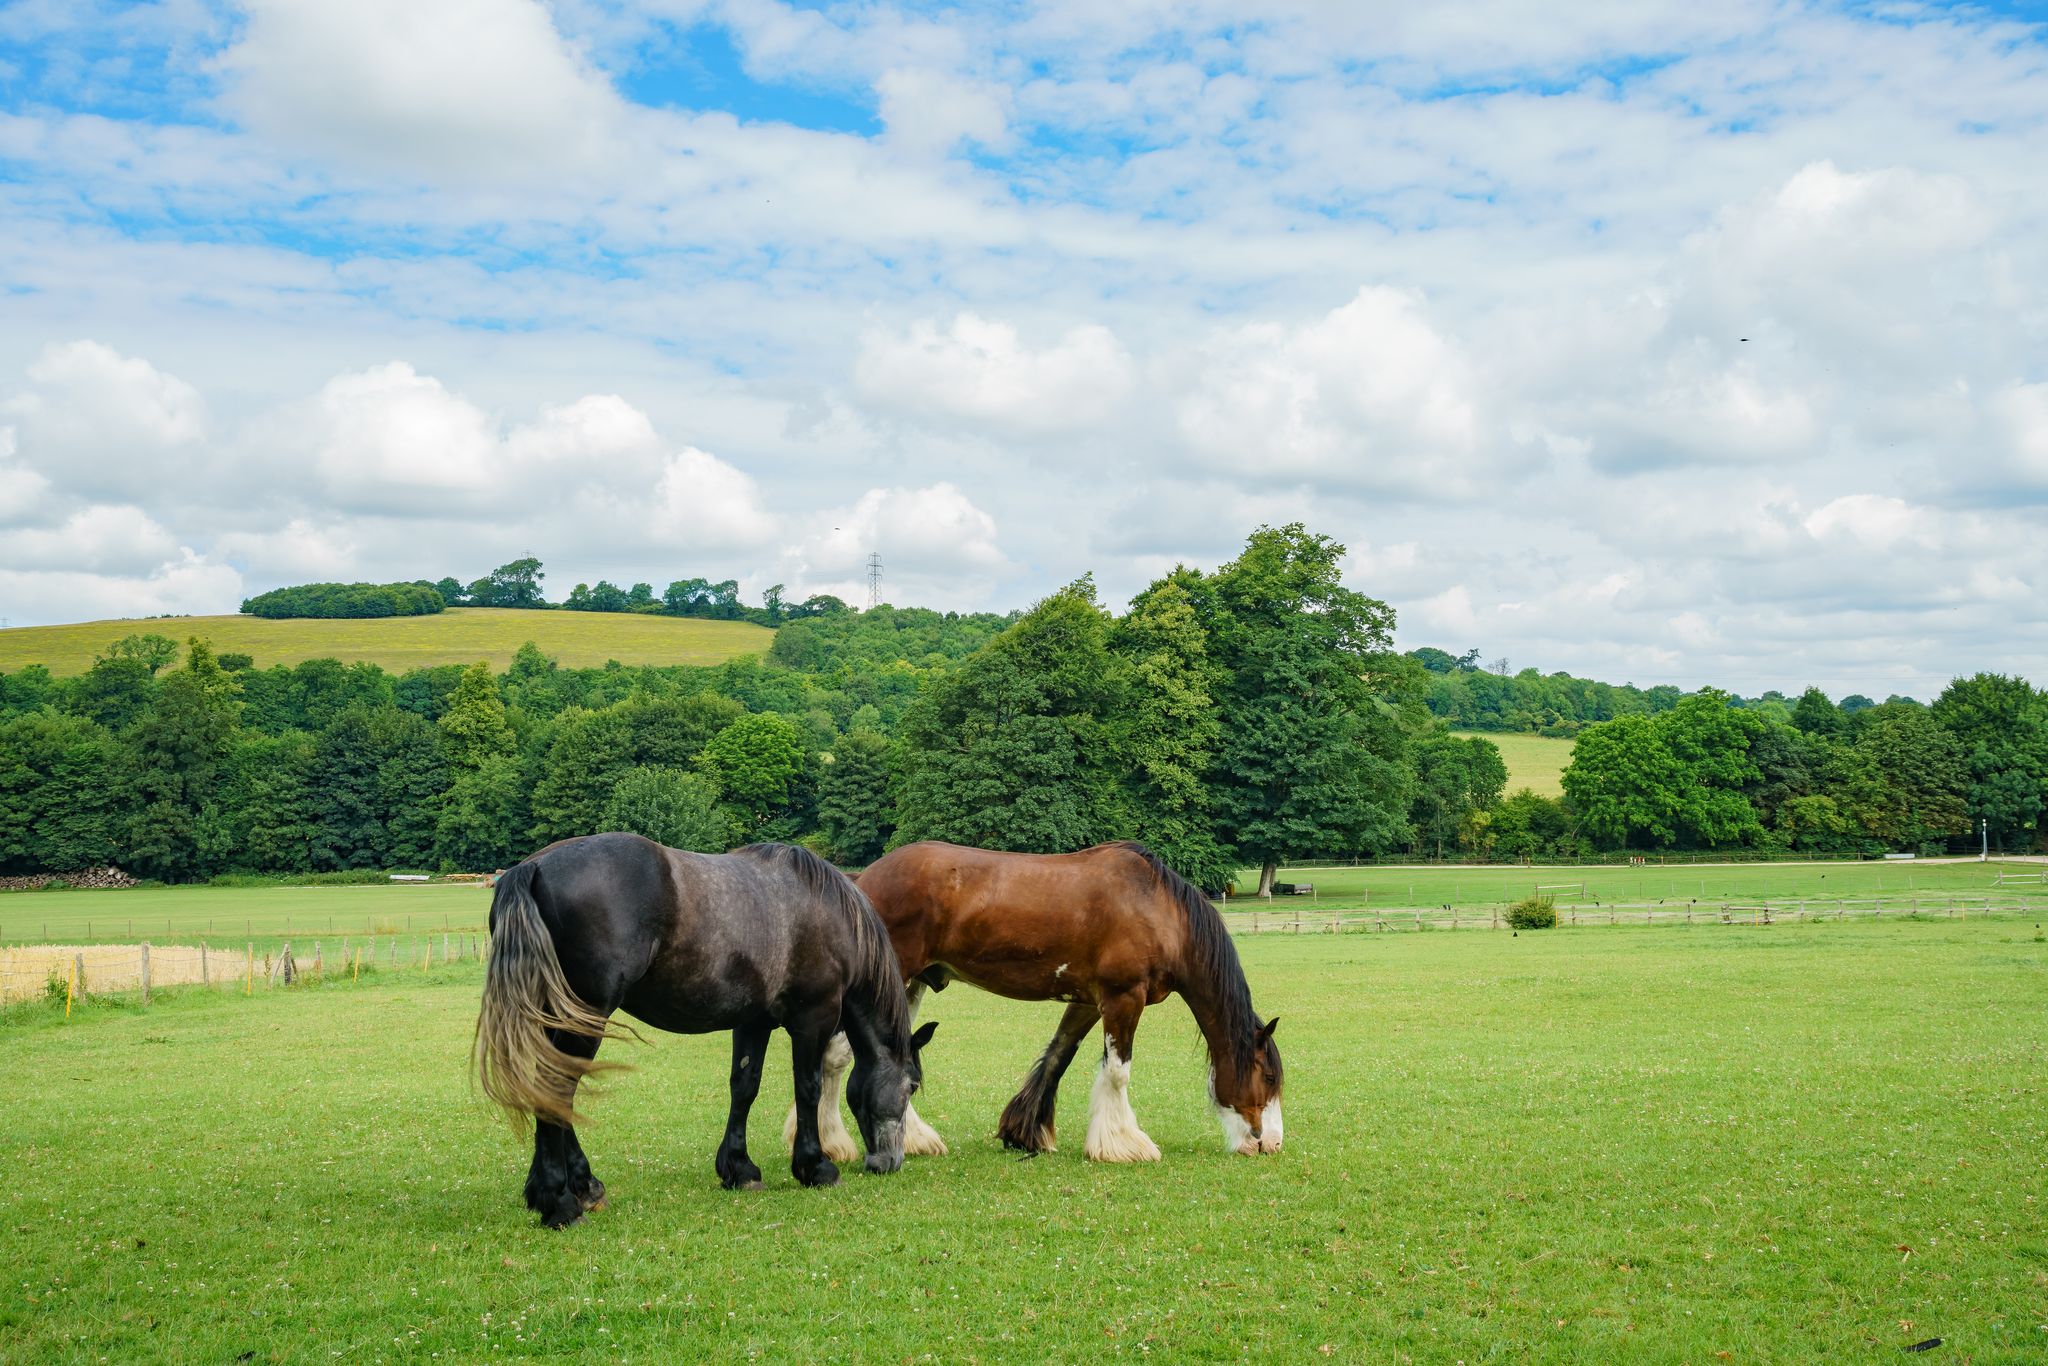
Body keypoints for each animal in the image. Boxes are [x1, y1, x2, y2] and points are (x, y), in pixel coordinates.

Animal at [474, 833, 935, 1228]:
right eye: (912, 1086)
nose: (889, 1163)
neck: (823, 911)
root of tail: (532, 868)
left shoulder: (754, 1020)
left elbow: (744, 1087)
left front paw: (739, 1168)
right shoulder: (813, 1018)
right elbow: (808, 1087)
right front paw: (815, 1166)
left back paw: (576, 1188)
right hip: (584, 1016)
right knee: (556, 1089)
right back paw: (560, 1203)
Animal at [787, 840, 1281, 1163]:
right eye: (1269, 1077)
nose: (1269, 1142)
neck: (1156, 907)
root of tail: (860, 880)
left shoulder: (1089, 1001)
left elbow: (1058, 1057)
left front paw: (1025, 1133)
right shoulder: (1124, 997)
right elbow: (1118, 1073)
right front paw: (1124, 1144)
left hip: (906, 986)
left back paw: (912, 1139)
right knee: (836, 1056)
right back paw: (833, 1143)